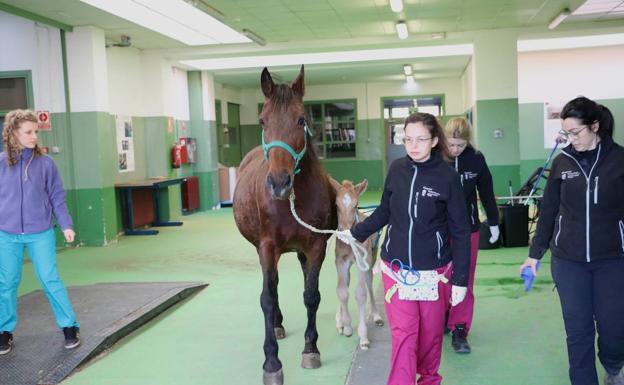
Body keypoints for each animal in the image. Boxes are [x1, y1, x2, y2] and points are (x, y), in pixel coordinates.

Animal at [233, 66, 336, 384]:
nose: (279, 182)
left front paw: (310, 348)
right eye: (262, 120)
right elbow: (267, 297)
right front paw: (271, 362)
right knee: (273, 287)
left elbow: (311, 295)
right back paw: (277, 324)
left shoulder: (316, 246)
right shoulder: (267, 247)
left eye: (301, 119)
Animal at [330, 178, 382, 350]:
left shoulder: (361, 261)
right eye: (336, 205)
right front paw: (345, 326)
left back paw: (376, 315)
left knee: (369, 282)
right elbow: (342, 291)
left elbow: (360, 294)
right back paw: (339, 321)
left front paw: (363, 337)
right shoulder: (340, 261)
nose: (344, 233)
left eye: (355, 205)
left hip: (371, 259)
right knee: (345, 283)